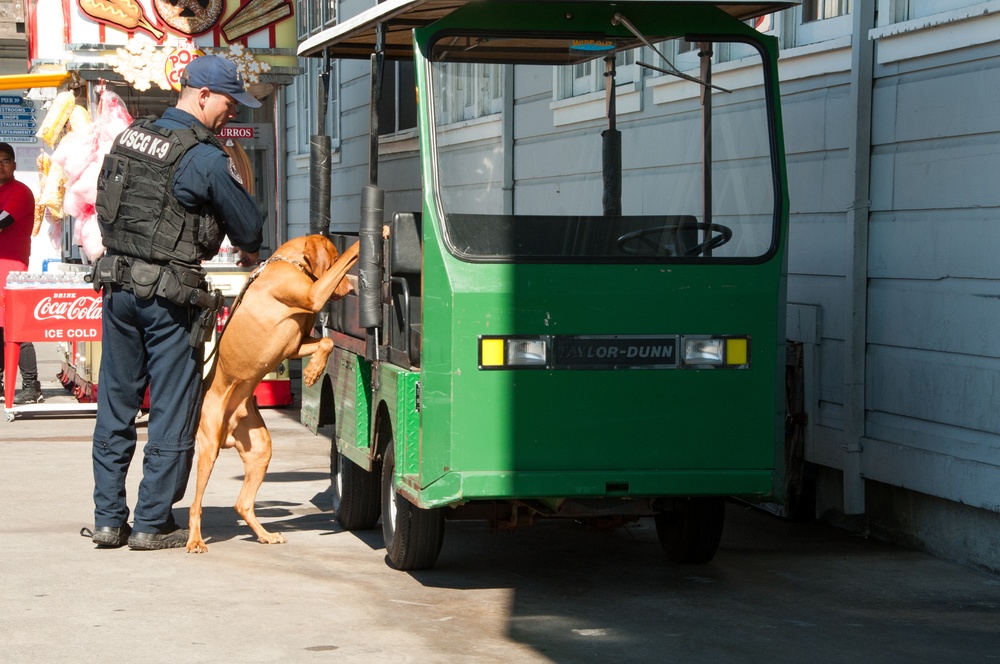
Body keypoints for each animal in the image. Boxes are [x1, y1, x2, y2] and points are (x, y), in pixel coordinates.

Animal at [188, 236, 360, 552]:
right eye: (332, 257)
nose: (351, 290)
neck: (289, 264)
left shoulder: (295, 345)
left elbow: (327, 341)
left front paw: (313, 370)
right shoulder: (314, 295)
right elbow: (346, 261)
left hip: (260, 449)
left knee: (242, 504)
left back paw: (264, 534)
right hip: (209, 447)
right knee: (196, 504)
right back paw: (195, 540)